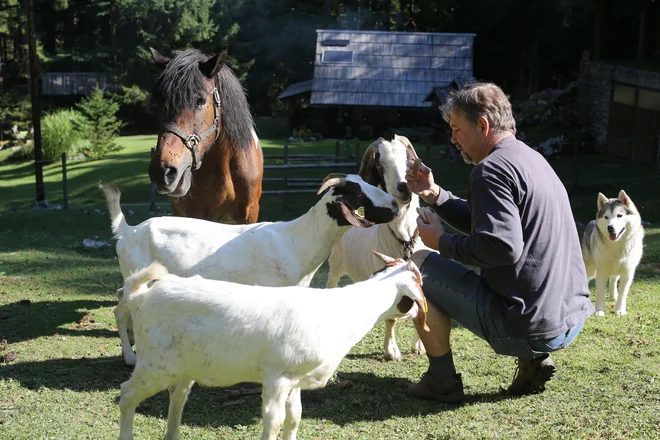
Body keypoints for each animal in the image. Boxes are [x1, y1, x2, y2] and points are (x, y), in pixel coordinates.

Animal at [98, 174, 398, 366]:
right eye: (358, 194)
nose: (395, 205)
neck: (297, 240)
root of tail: (127, 231)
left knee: (122, 298)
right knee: (120, 310)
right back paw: (130, 357)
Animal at [118, 253, 428, 440]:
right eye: (418, 283)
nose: (417, 312)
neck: (337, 313)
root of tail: (140, 296)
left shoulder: (295, 379)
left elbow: (294, 418)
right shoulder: (276, 377)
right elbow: (274, 420)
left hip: (183, 366)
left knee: (178, 396)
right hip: (155, 363)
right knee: (127, 394)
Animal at [326, 136, 430, 360]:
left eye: (409, 159)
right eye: (380, 164)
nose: (404, 187)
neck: (405, 238)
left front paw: (419, 346)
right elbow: (390, 319)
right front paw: (391, 351)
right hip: (335, 265)